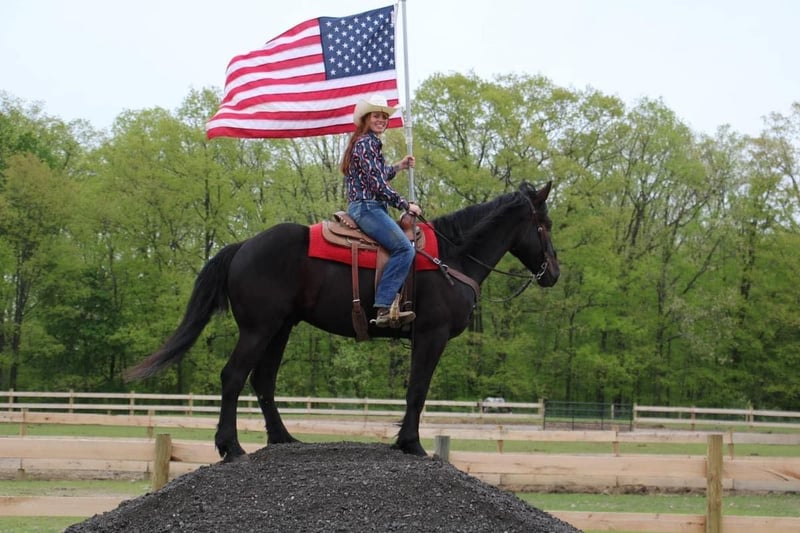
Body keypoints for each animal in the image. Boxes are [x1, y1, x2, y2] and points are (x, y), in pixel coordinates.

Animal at [126, 181, 560, 460]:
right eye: (545, 225)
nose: (553, 273)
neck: (450, 258)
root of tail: (244, 246)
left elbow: (413, 390)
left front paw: (404, 441)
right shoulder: (430, 335)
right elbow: (418, 390)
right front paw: (411, 444)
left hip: (280, 328)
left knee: (262, 380)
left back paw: (283, 438)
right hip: (258, 329)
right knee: (233, 376)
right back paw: (230, 447)